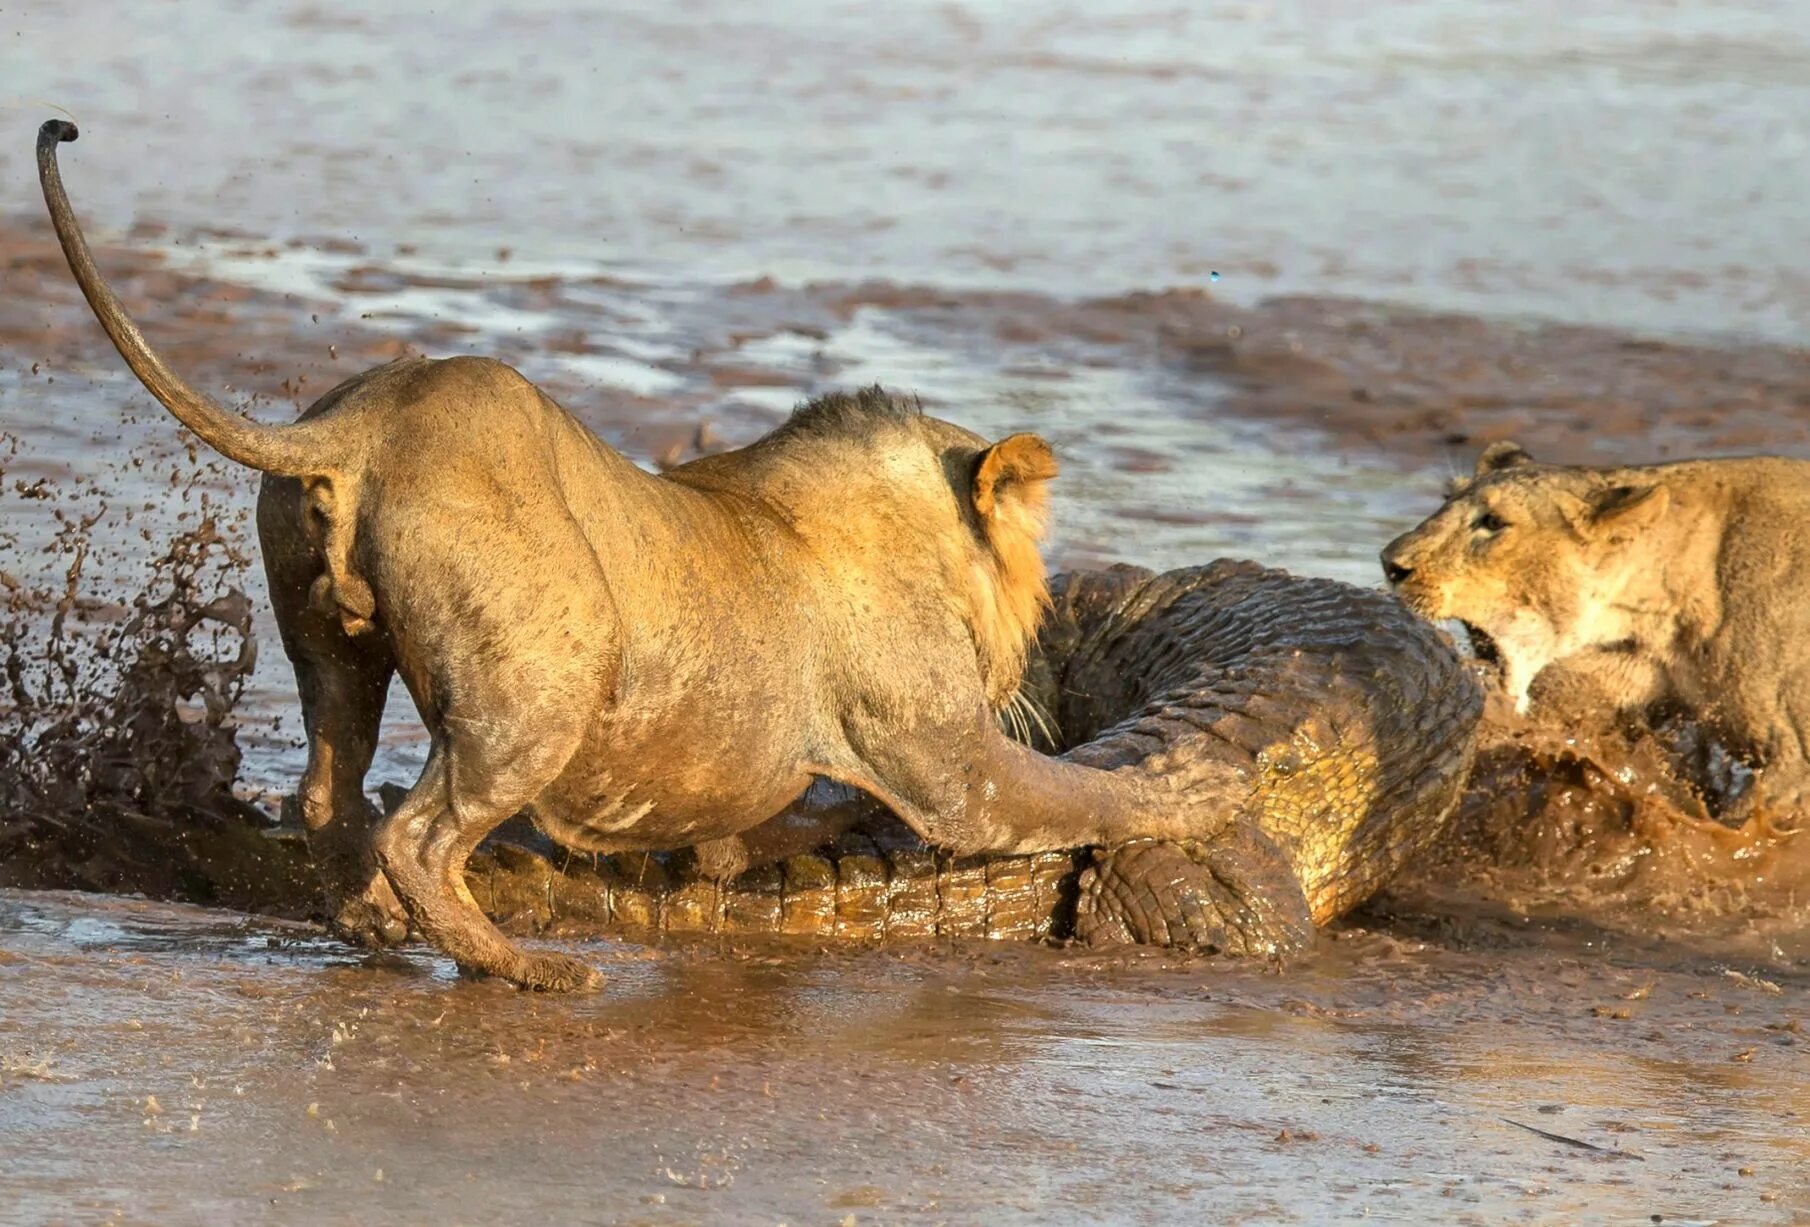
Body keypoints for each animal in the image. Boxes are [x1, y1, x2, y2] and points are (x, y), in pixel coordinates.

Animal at [35, 122, 1209, 991]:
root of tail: (364, 423)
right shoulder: (951, 770)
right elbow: (1078, 793)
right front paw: (1185, 792)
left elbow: (761, 828)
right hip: (543, 684)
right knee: (420, 834)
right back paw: (527, 968)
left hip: (335, 646)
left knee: (333, 799)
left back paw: (372, 925)